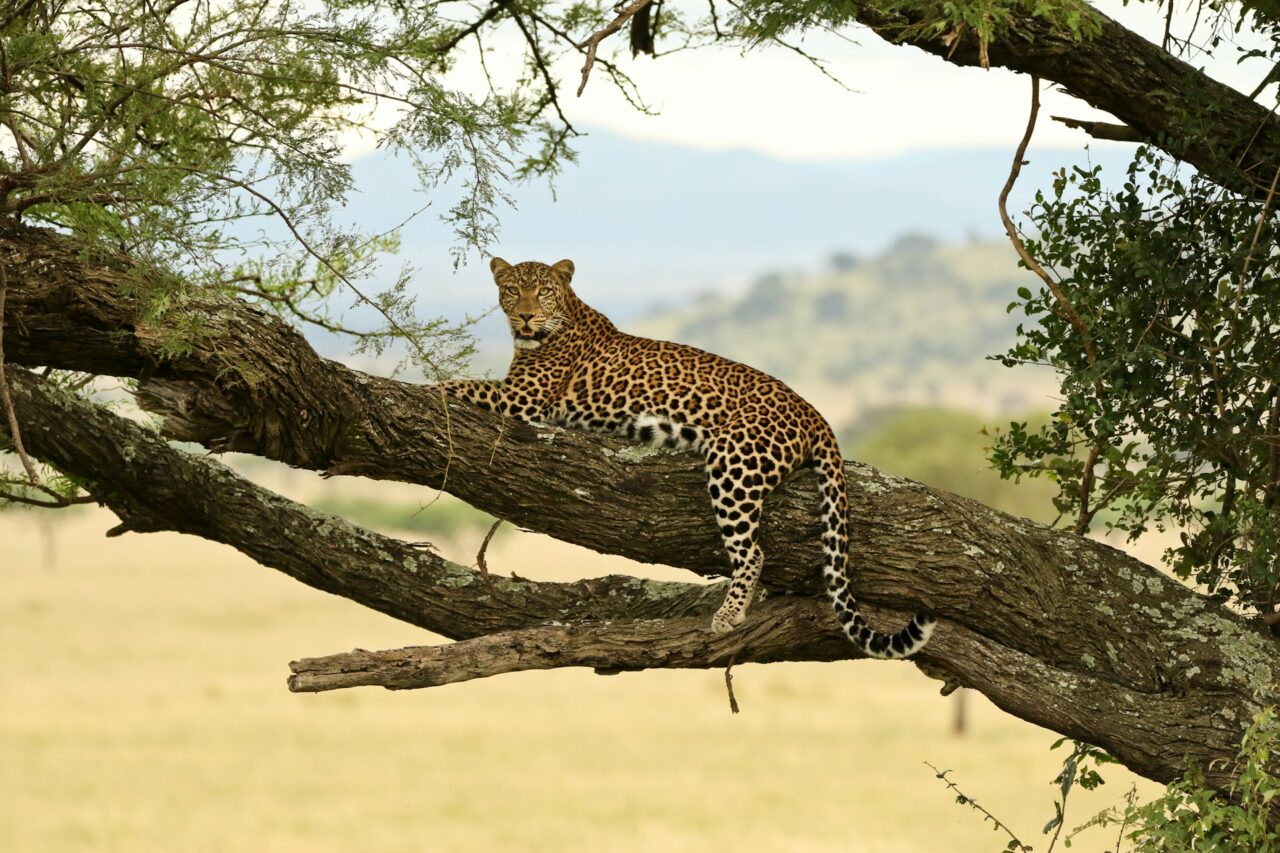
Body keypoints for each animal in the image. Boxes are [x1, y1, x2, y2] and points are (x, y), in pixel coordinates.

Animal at [438, 257, 937, 659]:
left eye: (541, 290)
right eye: (511, 289)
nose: (525, 315)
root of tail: (815, 413)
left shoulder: (523, 401)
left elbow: (455, 384)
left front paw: (423, 388)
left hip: (735, 464)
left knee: (753, 551)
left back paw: (729, 614)